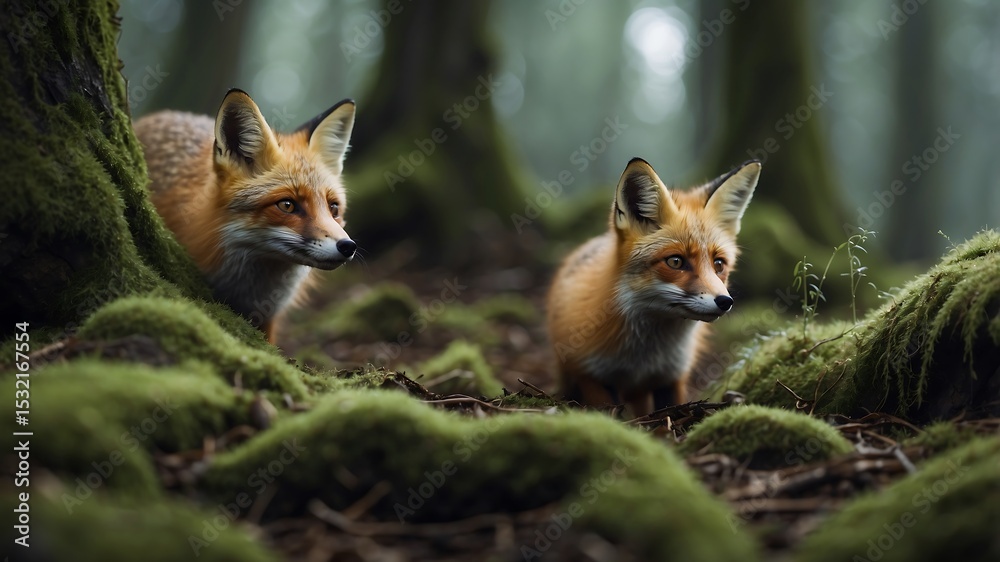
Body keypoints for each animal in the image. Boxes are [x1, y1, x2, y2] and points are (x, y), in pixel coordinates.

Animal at [546, 157, 760, 417]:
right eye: (675, 261)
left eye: (719, 264)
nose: (725, 302)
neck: (643, 359)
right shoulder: (591, 375)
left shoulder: (671, 378)